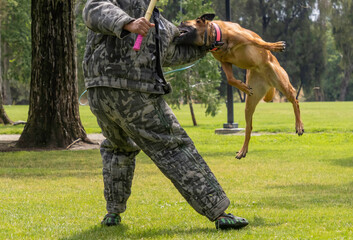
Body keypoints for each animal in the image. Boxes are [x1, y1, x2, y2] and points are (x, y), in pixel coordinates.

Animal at [174, 13, 302, 159]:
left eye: (182, 23)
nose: (173, 27)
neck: (216, 37)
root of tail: (268, 82)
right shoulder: (224, 62)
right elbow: (230, 79)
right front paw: (243, 87)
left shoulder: (247, 37)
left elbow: (259, 42)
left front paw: (275, 46)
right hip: (250, 102)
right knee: (249, 128)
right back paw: (243, 150)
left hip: (282, 82)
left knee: (295, 100)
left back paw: (299, 125)